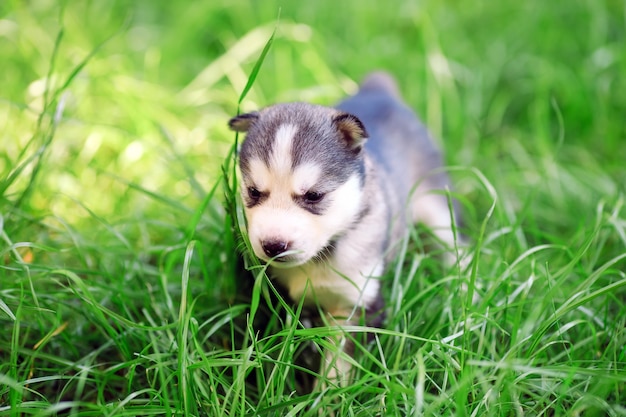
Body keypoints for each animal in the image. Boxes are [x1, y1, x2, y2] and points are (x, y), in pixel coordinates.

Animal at [229, 71, 464, 386]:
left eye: (314, 196)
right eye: (254, 192)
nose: (273, 245)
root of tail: (379, 91)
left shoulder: (356, 302)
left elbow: (339, 361)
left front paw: (328, 395)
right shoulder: (270, 294)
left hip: (437, 204)